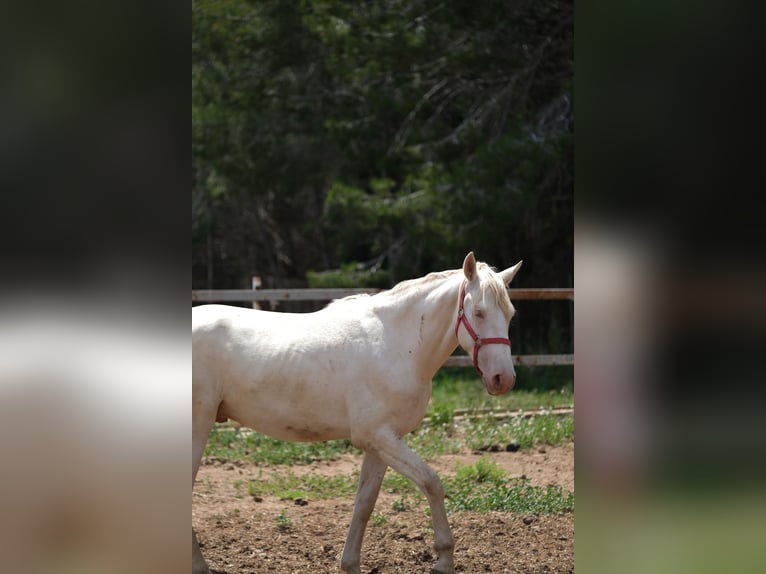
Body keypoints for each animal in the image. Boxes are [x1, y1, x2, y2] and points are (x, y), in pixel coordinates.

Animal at [195, 254, 524, 574]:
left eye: (510, 314)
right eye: (479, 312)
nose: (503, 379)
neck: (397, 344)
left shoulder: (381, 443)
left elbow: (365, 502)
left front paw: (350, 563)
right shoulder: (378, 437)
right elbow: (432, 482)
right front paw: (443, 560)